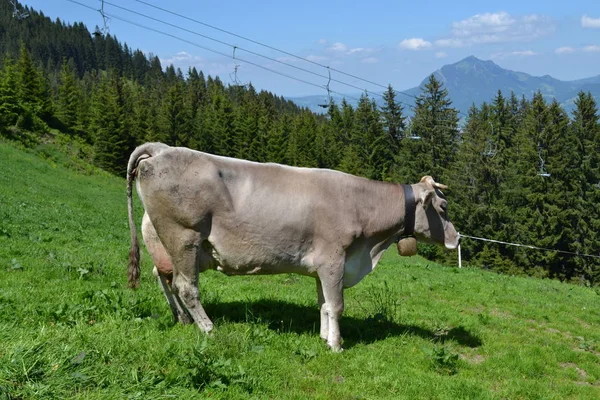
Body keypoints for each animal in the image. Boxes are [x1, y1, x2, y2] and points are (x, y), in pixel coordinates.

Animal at [126, 143, 460, 350]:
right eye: (443, 207)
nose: (457, 238)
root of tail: (162, 149)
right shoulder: (334, 259)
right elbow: (337, 305)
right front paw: (336, 345)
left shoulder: (323, 267)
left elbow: (324, 304)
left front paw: (324, 337)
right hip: (183, 237)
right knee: (186, 286)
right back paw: (209, 329)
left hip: (169, 245)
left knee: (166, 278)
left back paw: (183, 320)